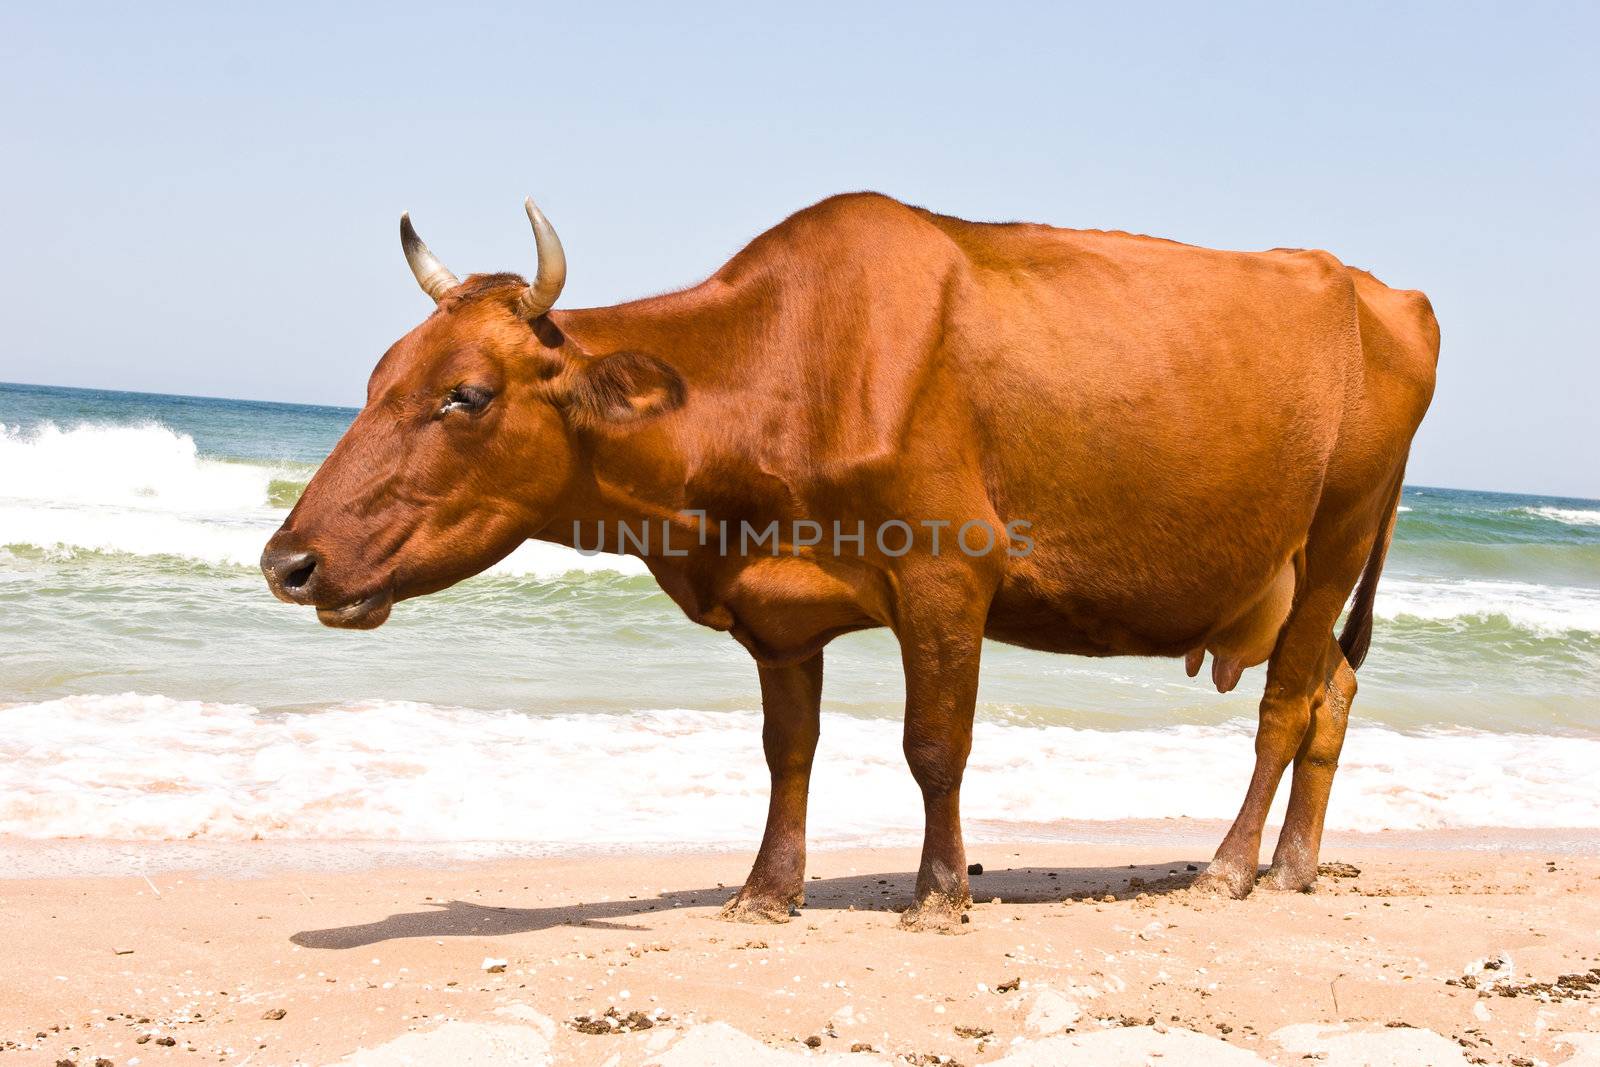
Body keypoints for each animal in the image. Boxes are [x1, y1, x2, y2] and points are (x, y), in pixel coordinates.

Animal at [259, 191, 1440, 927]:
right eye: (377, 377)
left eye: (465, 394)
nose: (289, 560)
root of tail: (1384, 289)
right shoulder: (780, 613)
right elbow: (788, 751)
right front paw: (765, 889)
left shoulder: (947, 574)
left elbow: (934, 744)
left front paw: (940, 890)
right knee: (1333, 691)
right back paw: (1293, 866)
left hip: (1335, 535)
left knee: (1287, 701)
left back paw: (1231, 867)